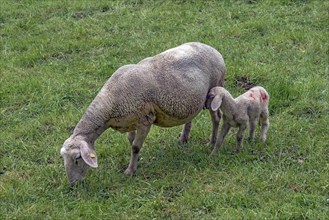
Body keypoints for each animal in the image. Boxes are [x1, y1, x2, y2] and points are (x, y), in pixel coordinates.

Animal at [60, 42, 226, 183]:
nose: (73, 184)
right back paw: (184, 139)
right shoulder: (130, 120)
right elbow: (131, 140)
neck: (111, 100)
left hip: (214, 89)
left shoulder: (145, 119)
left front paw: (130, 171)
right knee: (190, 117)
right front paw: (136, 161)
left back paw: (211, 142)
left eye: (77, 158)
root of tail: (213, 49)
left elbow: (135, 146)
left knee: (216, 118)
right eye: (63, 157)